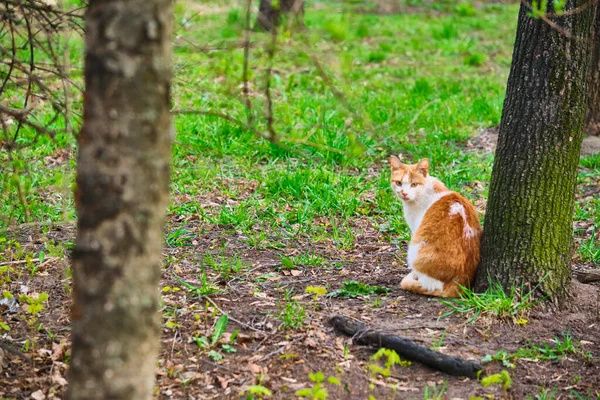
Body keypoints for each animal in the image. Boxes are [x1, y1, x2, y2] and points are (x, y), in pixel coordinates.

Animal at [390, 155, 482, 296]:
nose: (404, 193)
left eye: (414, 184)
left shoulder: (416, 229)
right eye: (399, 183)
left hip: (415, 248)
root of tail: (459, 281)